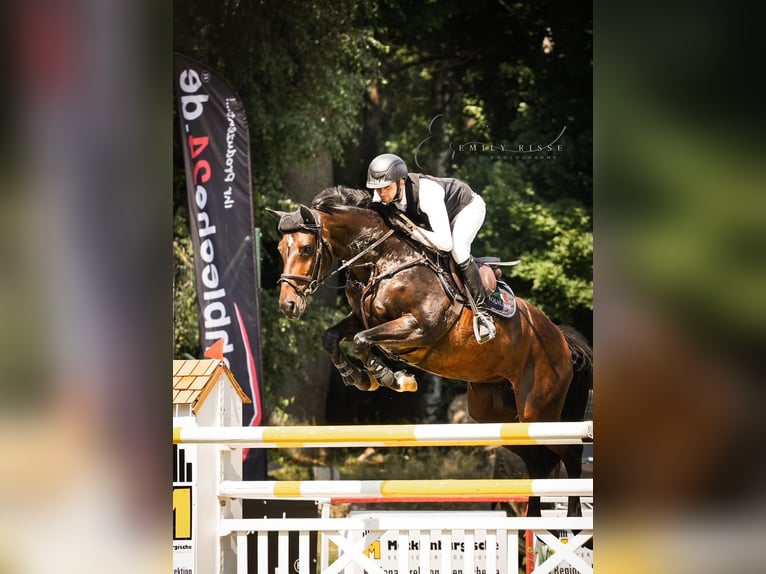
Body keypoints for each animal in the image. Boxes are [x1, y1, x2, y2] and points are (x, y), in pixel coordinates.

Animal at [268, 187, 592, 520]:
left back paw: (573, 517)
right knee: (538, 460)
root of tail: (561, 338)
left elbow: (362, 341)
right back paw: (537, 521)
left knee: (571, 451)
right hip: (498, 414)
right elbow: (332, 337)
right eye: (281, 249)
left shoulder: (420, 327)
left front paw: (390, 377)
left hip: (539, 408)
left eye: (306, 249)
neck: (383, 261)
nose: (288, 305)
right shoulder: (362, 318)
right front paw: (358, 377)